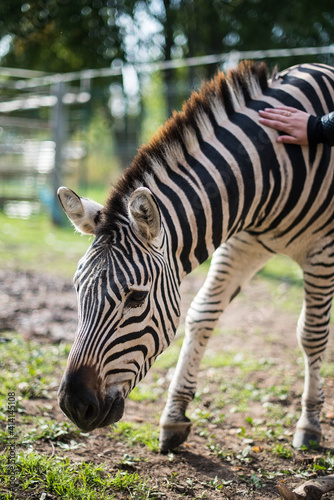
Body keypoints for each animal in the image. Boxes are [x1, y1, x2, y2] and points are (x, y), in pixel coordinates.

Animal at [56, 60, 334, 452]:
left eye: (135, 298)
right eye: (78, 289)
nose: (74, 406)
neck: (272, 164)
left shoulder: (320, 249)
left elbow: (312, 334)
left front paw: (309, 423)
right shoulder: (243, 243)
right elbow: (202, 315)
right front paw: (174, 416)